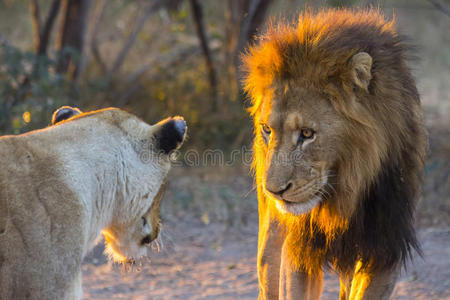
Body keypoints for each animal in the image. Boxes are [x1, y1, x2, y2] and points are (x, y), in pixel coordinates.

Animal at [241, 9, 428, 300]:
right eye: (267, 130)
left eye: (307, 133)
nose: (274, 191)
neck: (346, 191)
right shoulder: (299, 249)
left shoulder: (385, 249)